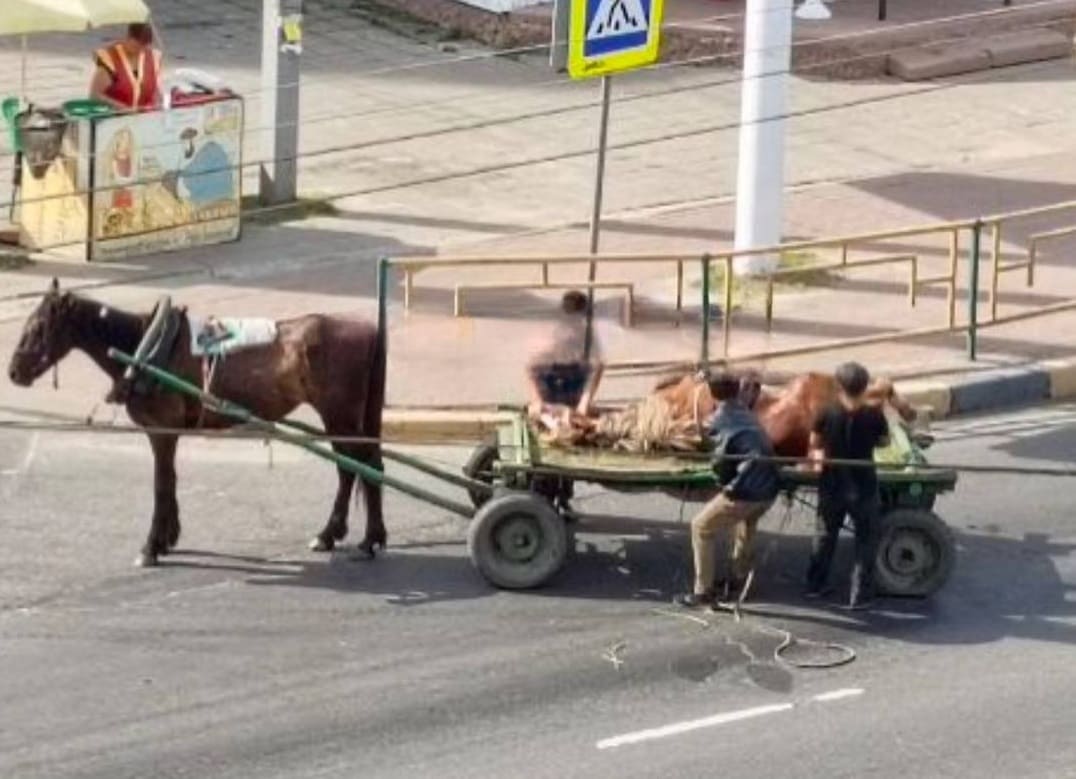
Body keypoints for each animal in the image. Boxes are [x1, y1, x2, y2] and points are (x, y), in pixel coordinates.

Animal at [7, 279, 387, 568]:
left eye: (38, 328)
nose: (13, 372)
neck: (145, 347)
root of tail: (369, 330)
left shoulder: (161, 430)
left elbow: (161, 483)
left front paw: (151, 546)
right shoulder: (168, 433)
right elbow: (171, 480)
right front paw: (168, 537)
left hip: (339, 414)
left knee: (360, 466)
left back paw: (360, 537)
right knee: (358, 466)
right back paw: (347, 536)